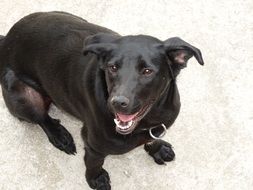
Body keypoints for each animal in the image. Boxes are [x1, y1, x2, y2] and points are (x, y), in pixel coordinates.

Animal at [0, 11, 203, 189]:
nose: (117, 103)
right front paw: (96, 179)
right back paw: (60, 135)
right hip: (21, 96)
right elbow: (94, 163)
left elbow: (153, 138)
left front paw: (157, 148)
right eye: (112, 67)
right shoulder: (93, 144)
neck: (148, 120)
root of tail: (6, 39)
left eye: (147, 71)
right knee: (42, 118)